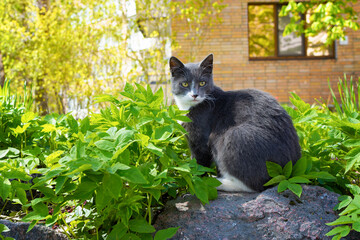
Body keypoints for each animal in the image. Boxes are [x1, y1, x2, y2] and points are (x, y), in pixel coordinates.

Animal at [169, 53, 300, 192]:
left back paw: (219, 182)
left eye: (202, 82)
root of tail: (289, 169)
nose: (195, 95)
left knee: (256, 185)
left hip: (236, 135)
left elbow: (199, 163)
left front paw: (195, 182)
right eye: (184, 84)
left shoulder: (200, 139)